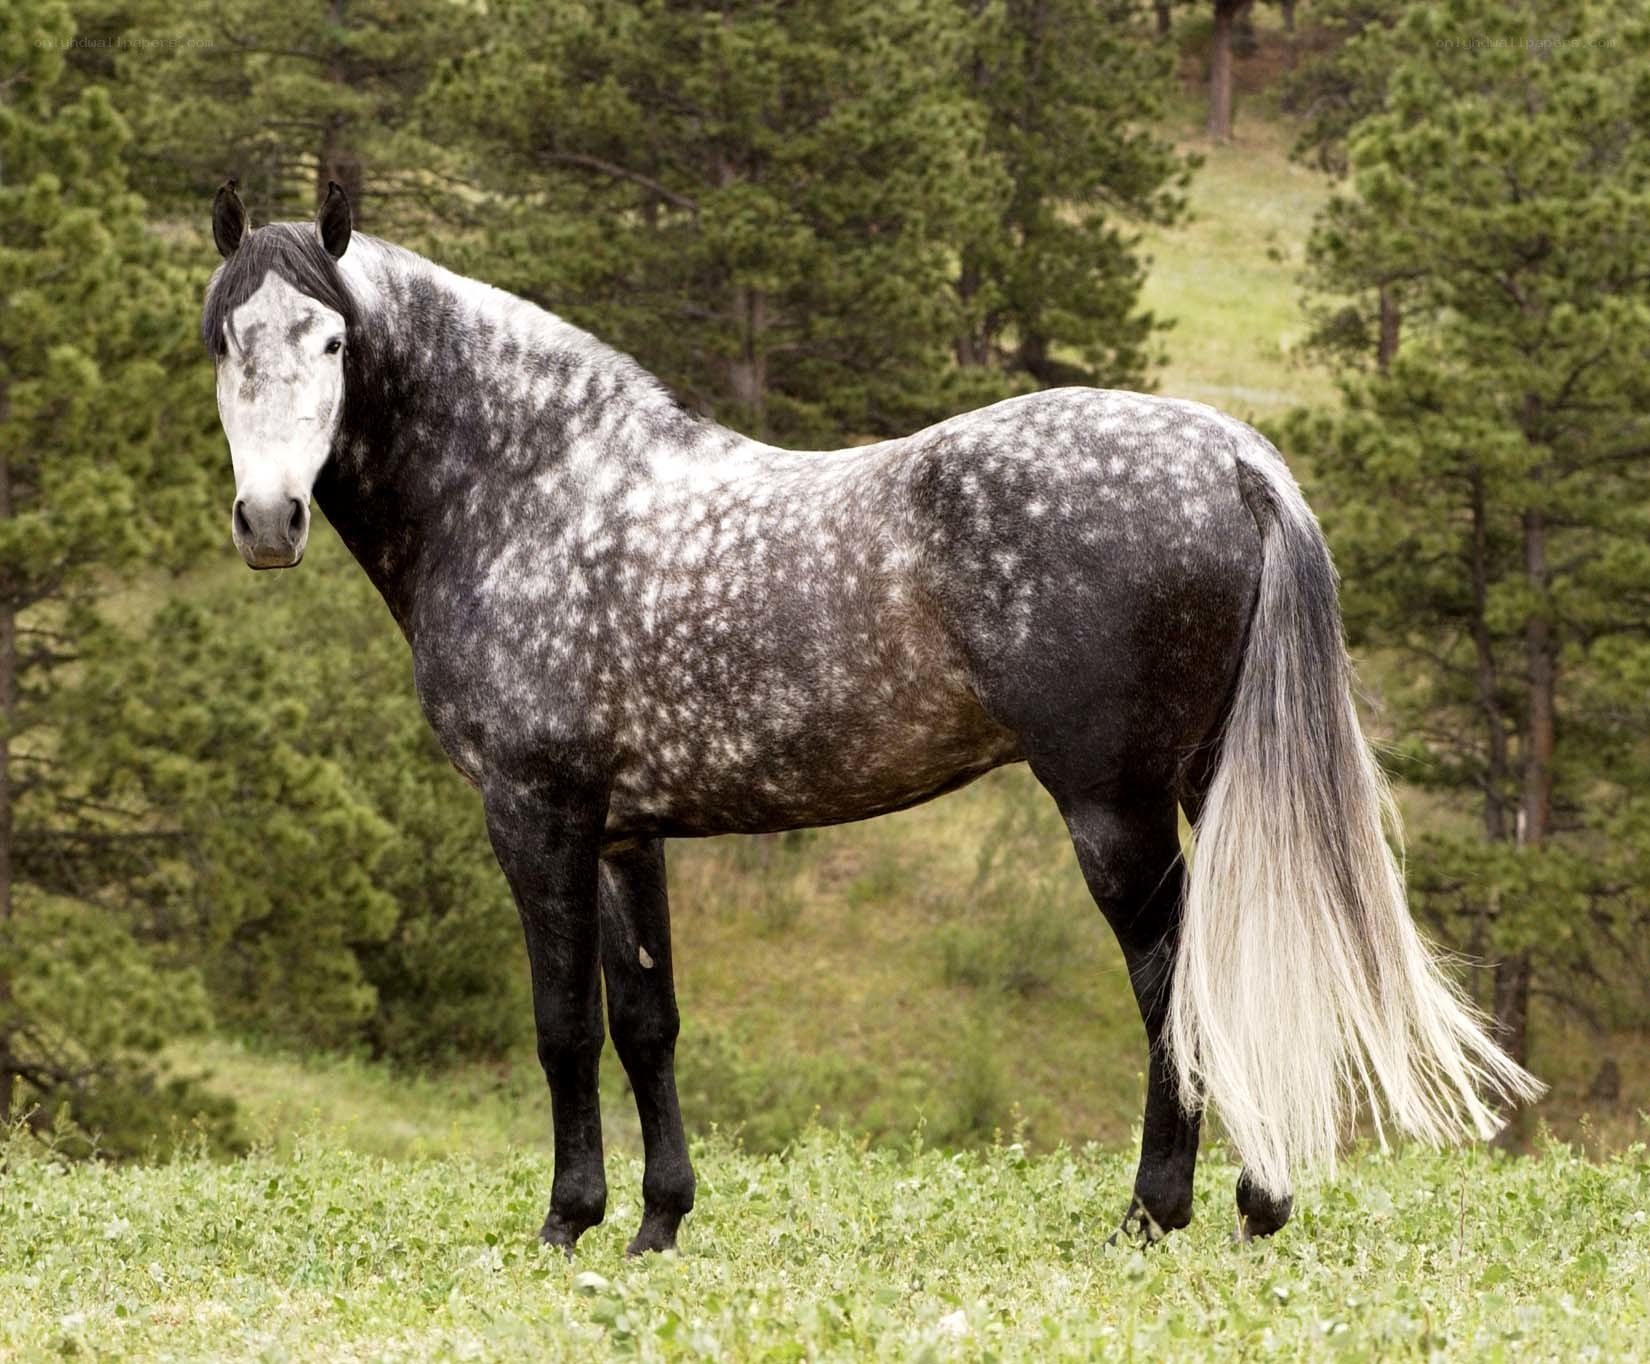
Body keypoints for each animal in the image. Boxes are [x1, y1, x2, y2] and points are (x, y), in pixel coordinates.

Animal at [201, 181, 1539, 1256]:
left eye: (332, 336)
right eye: (223, 339)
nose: (267, 520)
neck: (536, 492)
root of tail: (1231, 456)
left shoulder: (536, 815)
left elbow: (563, 1024)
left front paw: (567, 1220)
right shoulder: (627, 832)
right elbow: (648, 1023)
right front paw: (658, 1219)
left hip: (1110, 802)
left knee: (1172, 977)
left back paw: (1154, 1211)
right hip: (1206, 777)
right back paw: (1257, 1202)